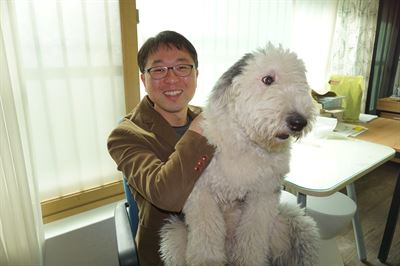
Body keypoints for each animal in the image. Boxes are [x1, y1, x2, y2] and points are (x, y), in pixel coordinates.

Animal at [159, 44, 318, 266]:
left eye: (300, 83)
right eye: (268, 79)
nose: (299, 122)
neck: (246, 141)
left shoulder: (263, 194)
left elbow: (253, 235)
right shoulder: (200, 192)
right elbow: (207, 233)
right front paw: (208, 259)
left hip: (294, 220)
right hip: (174, 233)